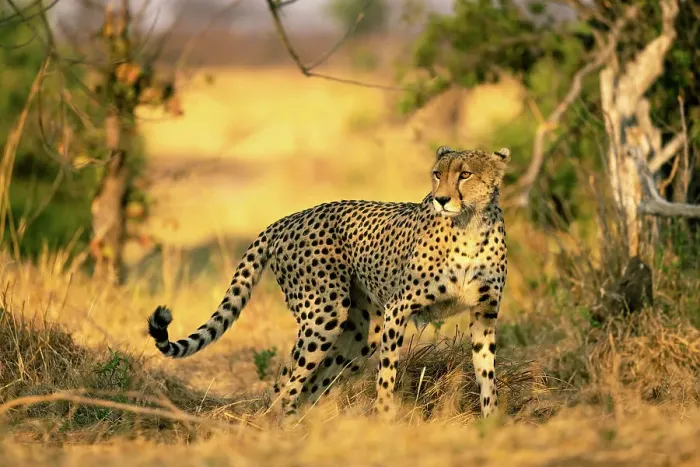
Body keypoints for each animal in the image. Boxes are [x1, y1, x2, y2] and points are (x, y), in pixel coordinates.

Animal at [147, 145, 510, 421]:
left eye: (465, 174)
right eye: (438, 173)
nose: (441, 199)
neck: (469, 225)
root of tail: (286, 219)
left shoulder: (484, 312)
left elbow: (487, 373)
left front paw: (492, 422)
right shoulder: (397, 308)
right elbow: (387, 375)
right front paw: (385, 420)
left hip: (360, 330)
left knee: (302, 384)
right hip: (325, 313)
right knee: (288, 383)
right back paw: (281, 428)